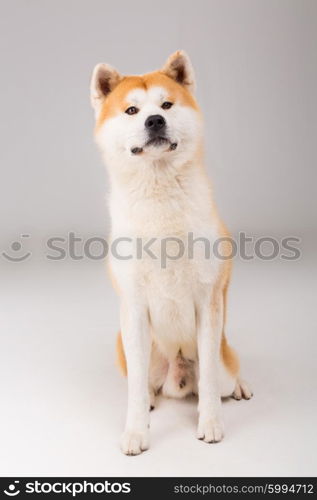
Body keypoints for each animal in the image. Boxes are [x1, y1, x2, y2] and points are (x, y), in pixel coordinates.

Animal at [89, 51, 252, 458]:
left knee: (224, 375)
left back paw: (240, 387)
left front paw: (210, 424)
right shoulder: (133, 307)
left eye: (167, 105)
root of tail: (177, 377)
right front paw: (136, 432)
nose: (154, 120)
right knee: (143, 382)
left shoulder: (208, 303)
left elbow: (208, 381)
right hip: (129, 349)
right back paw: (150, 397)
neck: (159, 190)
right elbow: (134, 391)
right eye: (132, 110)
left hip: (224, 357)